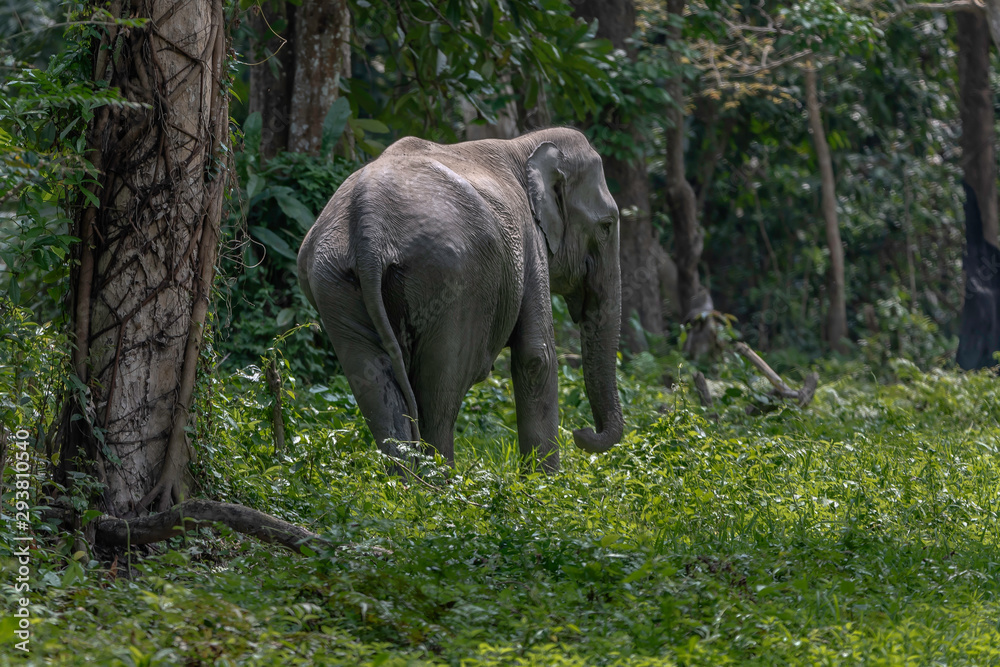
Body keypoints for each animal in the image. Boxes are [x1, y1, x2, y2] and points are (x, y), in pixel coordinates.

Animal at [297, 127, 623, 472]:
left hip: (331, 280)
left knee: (374, 385)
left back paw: (406, 482)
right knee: (439, 395)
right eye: (606, 226)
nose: (582, 432)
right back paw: (441, 482)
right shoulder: (529, 242)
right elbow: (537, 357)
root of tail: (368, 223)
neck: (524, 145)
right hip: (455, 280)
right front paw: (545, 483)